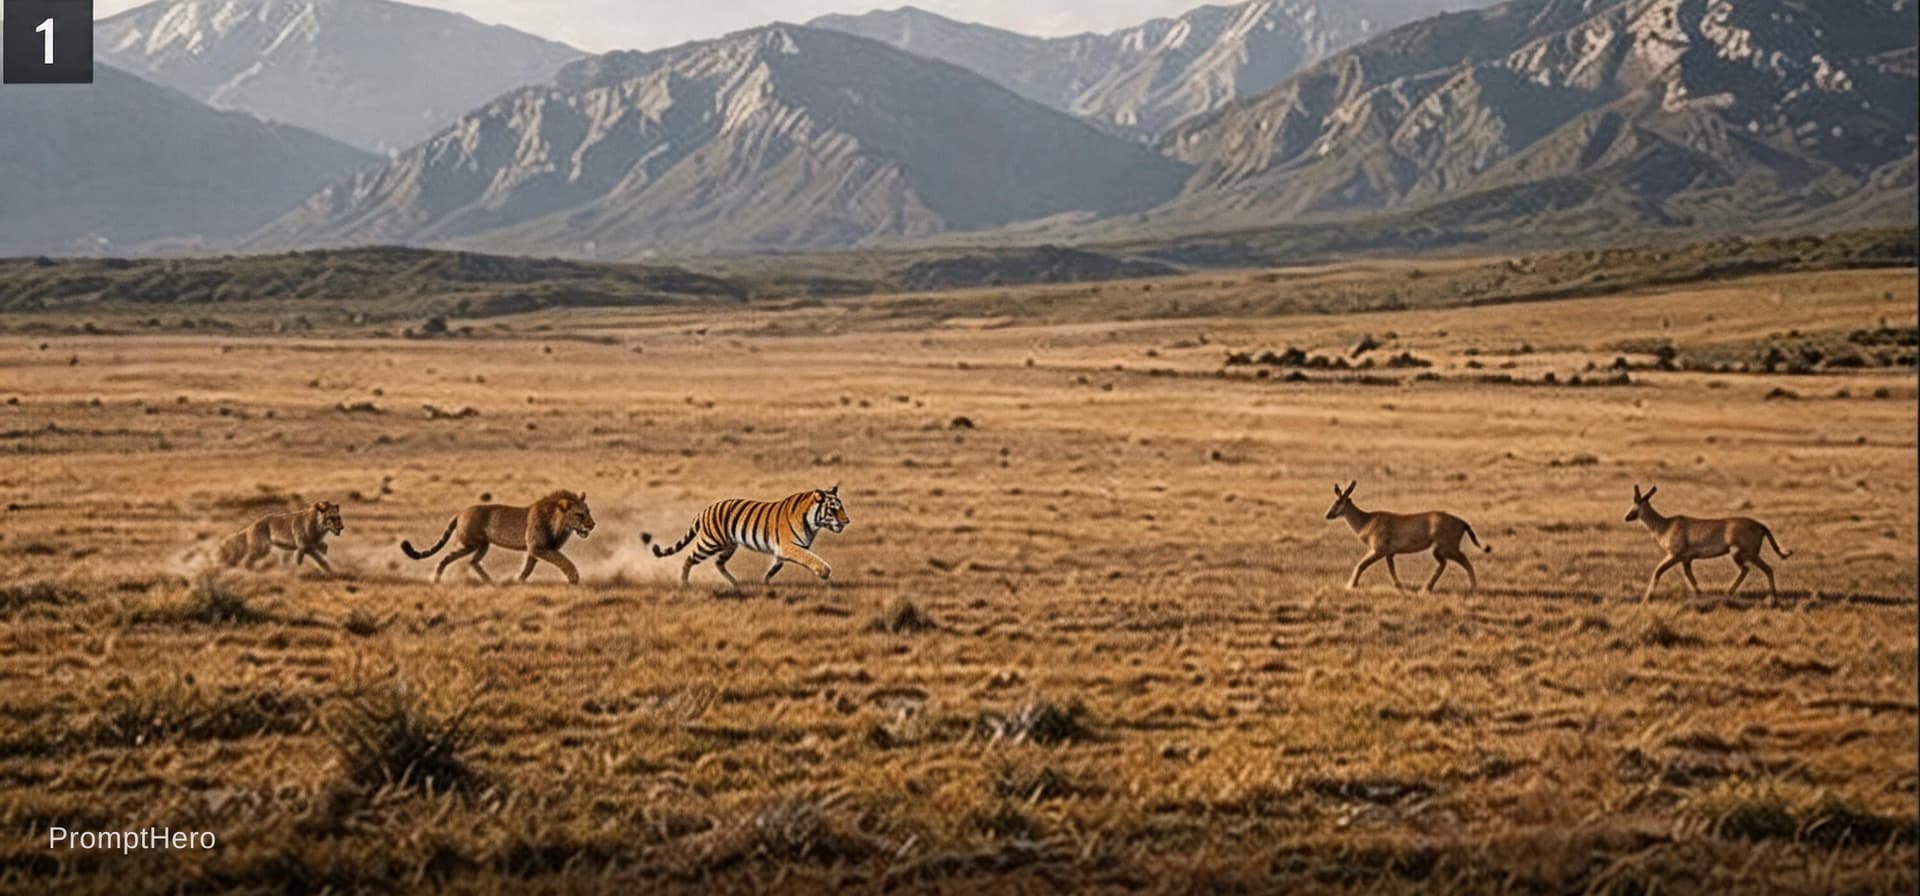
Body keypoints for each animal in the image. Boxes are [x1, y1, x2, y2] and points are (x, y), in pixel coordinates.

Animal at [217, 501, 346, 576]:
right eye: (332, 518)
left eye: (338, 517)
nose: (342, 527)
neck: (320, 528)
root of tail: (250, 526)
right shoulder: (306, 545)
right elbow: (319, 558)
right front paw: (328, 570)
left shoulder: (315, 543)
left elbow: (324, 548)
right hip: (261, 548)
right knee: (247, 561)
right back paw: (253, 573)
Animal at [400, 490, 595, 584]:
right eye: (579, 515)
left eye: (588, 512)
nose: (592, 525)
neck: (560, 523)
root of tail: (461, 512)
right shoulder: (538, 547)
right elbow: (564, 561)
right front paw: (574, 579)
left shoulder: (535, 549)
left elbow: (528, 567)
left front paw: (518, 581)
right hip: (469, 544)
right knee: (446, 559)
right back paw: (436, 579)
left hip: (483, 545)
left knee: (473, 562)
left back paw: (490, 581)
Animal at [643, 485, 849, 586]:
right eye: (833, 509)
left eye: (842, 507)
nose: (847, 521)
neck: (814, 524)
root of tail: (704, 510)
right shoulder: (790, 547)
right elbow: (811, 558)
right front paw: (824, 572)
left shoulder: (781, 551)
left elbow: (774, 568)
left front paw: (765, 583)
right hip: (710, 543)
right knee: (689, 558)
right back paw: (684, 583)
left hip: (729, 546)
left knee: (718, 563)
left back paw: (736, 584)